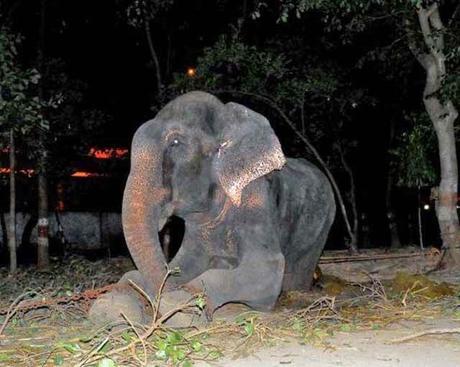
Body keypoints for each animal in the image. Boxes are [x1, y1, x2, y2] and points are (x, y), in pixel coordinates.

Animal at [90, 92, 334, 322]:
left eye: (175, 143)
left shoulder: (256, 198)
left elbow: (267, 268)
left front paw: (180, 307)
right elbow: (184, 262)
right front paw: (114, 302)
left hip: (321, 227)